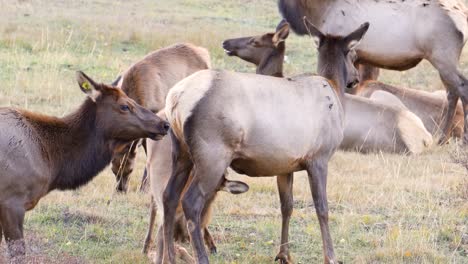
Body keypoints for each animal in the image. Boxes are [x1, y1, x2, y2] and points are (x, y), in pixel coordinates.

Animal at [163, 21, 372, 264]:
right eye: (354, 55)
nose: (355, 78)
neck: (335, 91)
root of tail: (176, 97)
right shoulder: (319, 157)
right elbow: (322, 208)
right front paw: (330, 256)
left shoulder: (286, 165)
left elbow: (287, 206)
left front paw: (284, 255)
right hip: (212, 153)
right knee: (191, 201)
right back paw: (201, 257)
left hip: (181, 151)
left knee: (168, 196)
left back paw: (166, 257)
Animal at [278, 0, 468, 144]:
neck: (319, 11)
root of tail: (463, 21)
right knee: (452, 92)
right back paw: (442, 138)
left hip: (442, 56)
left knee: (462, 87)